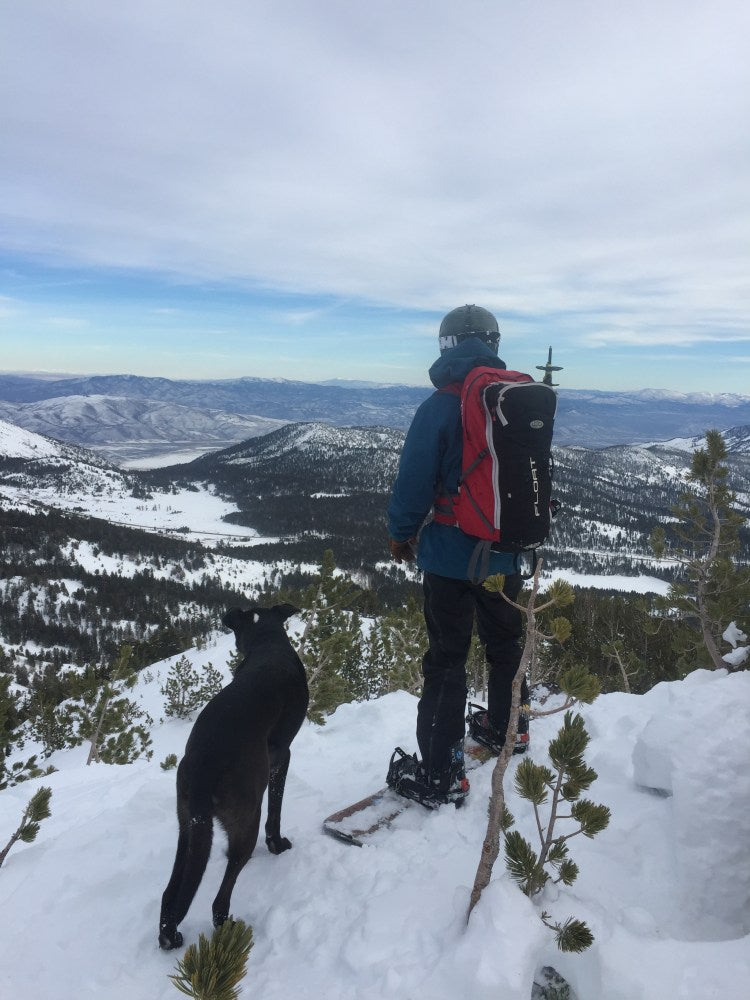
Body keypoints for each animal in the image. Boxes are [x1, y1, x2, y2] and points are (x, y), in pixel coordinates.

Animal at [159, 604, 308, 948]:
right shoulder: (281, 758)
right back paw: (228, 926)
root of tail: (205, 766)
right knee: (219, 900)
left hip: (188, 825)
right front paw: (277, 844)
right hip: (246, 818)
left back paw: (169, 935)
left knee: (171, 893)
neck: (267, 642)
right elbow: (275, 812)